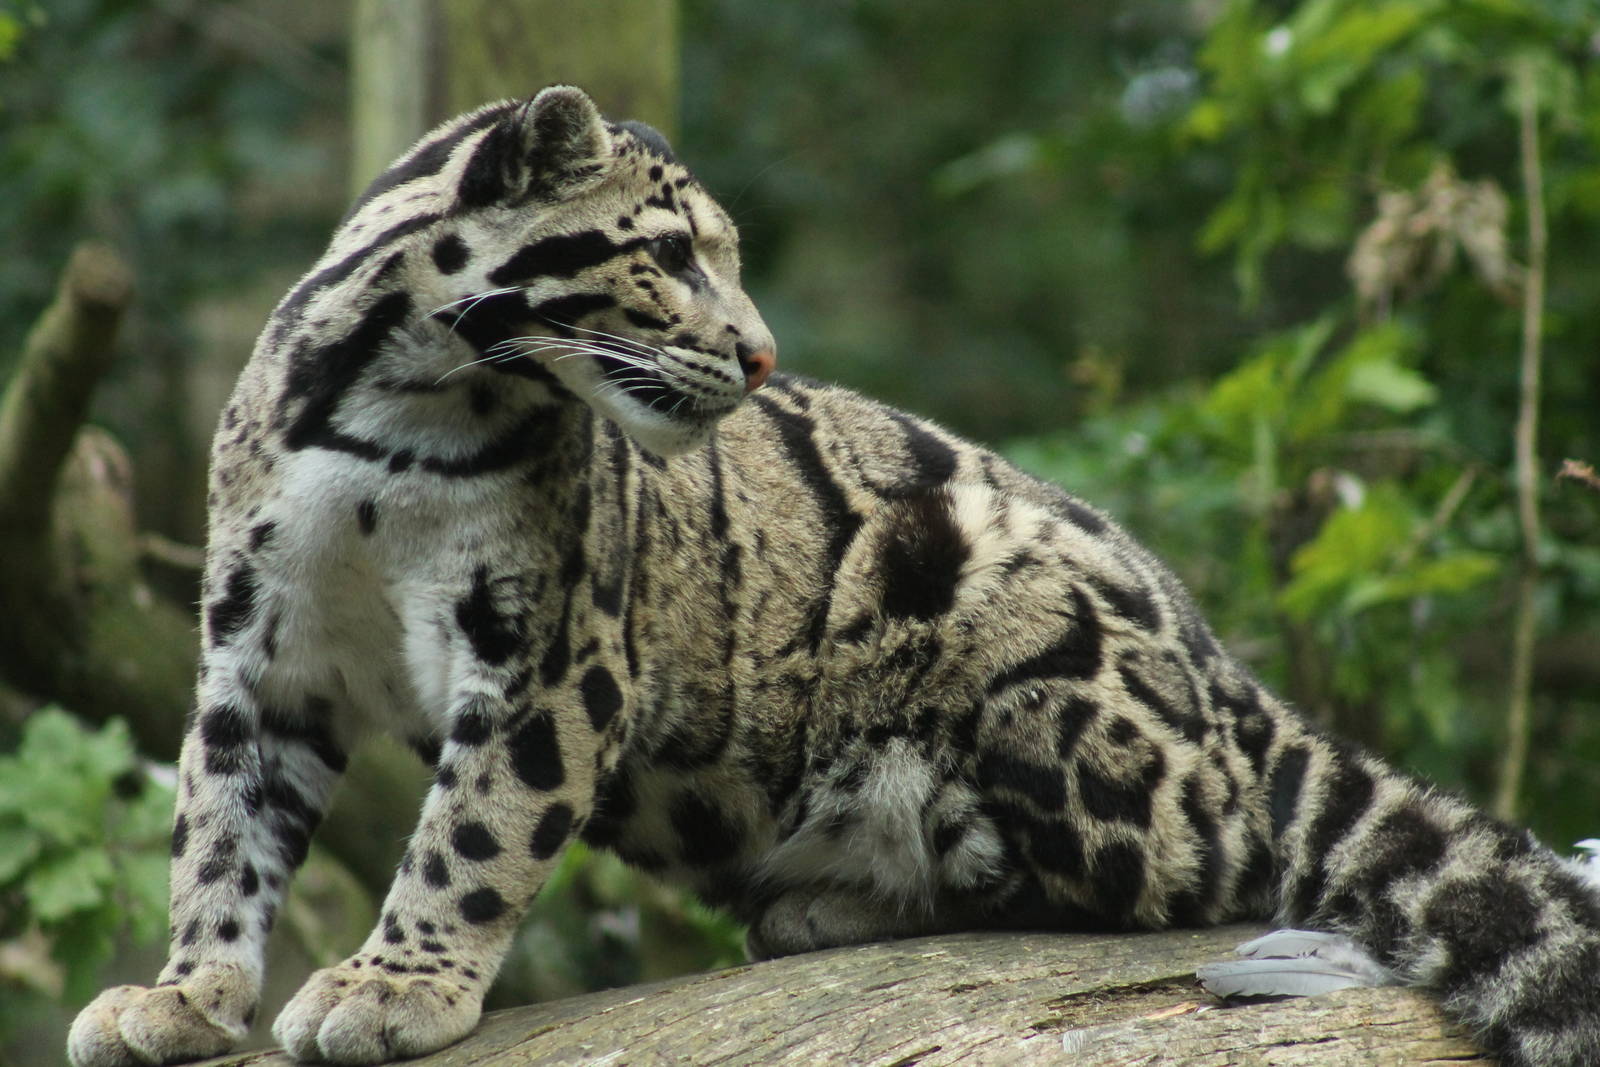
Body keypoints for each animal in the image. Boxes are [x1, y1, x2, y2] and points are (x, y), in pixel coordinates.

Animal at [68, 85, 1600, 1066]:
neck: (389, 403)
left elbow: (471, 836)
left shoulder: (551, 657)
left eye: (725, 261)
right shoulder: (257, 651)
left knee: (1178, 871)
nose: (757, 355)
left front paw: (394, 985)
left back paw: (832, 897)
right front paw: (185, 995)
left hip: (1007, 624)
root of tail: (1236, 684)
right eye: (670, 255)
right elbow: (219, 833)